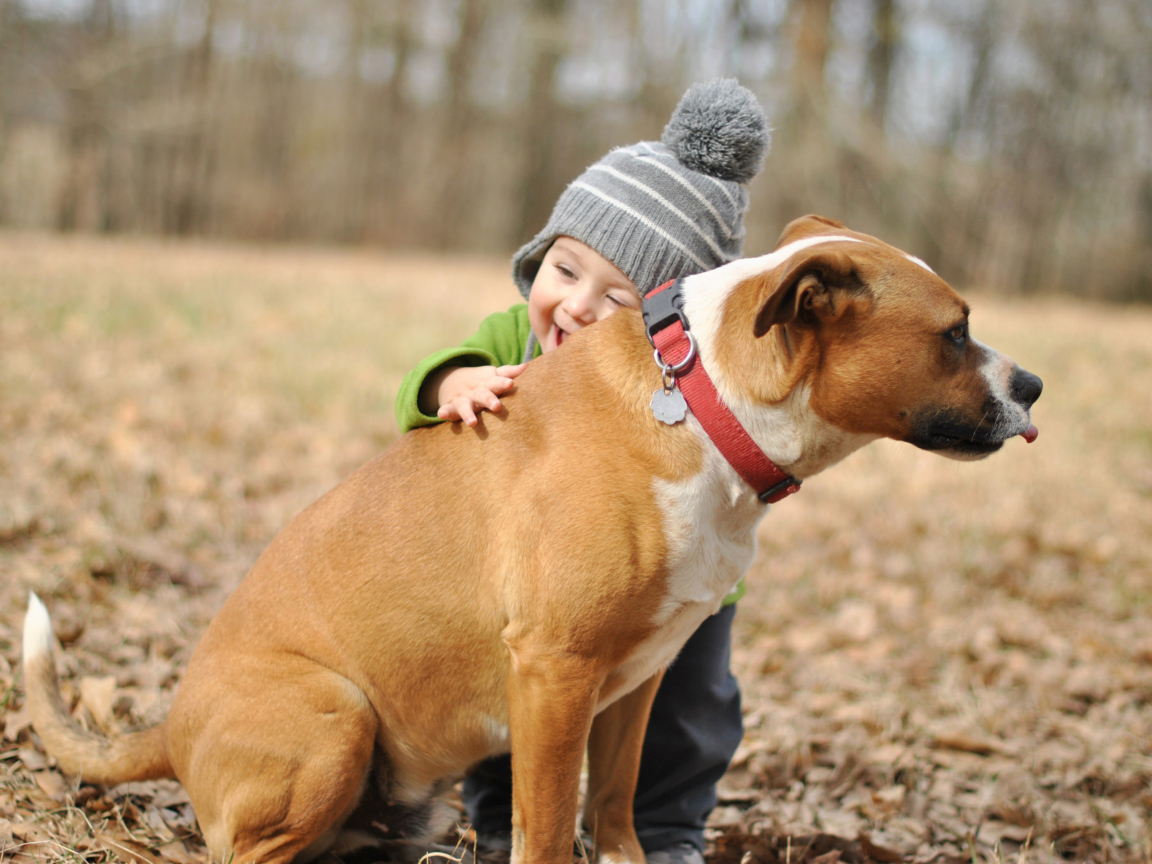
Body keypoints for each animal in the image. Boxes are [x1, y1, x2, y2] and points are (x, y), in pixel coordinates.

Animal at [22, 216, 1046, 864]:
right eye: (955, 333)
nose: (1034, 384)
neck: (699, 405)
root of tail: (170, 726)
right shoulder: (556, 673)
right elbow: (551, 828)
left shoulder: (638, 677)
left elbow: (618, 803)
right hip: (336, 717)